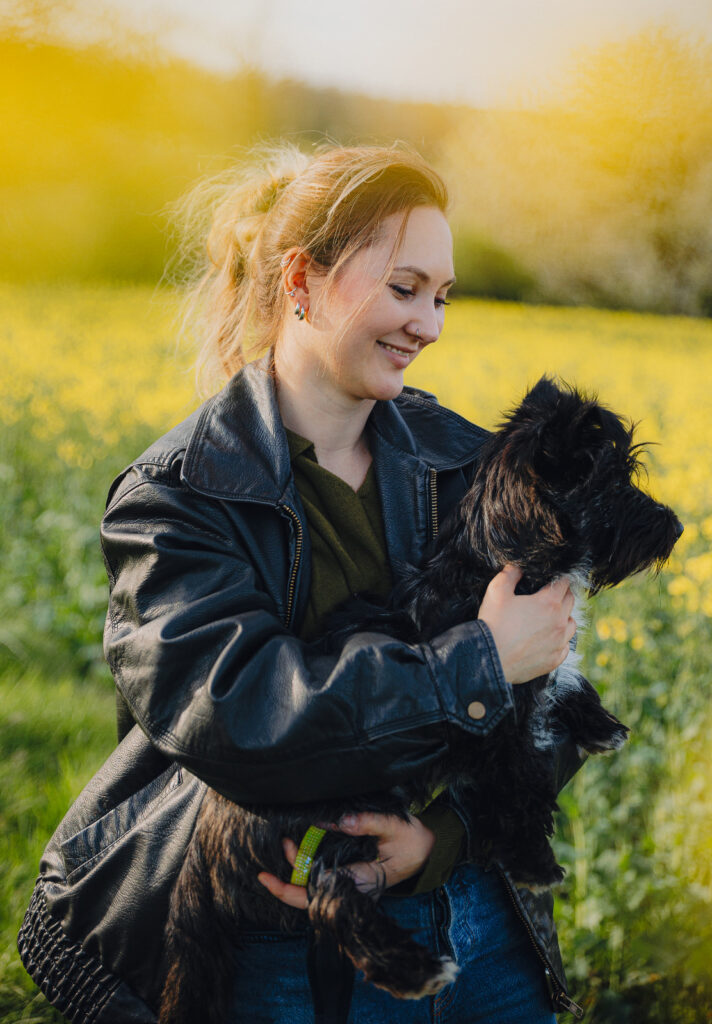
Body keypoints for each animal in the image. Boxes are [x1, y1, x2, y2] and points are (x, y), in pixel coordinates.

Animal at [158, 377, 682, 1023]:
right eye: (612, 483)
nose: (675, 527)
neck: (494, 559)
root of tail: (199, 853)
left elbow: (565, 681)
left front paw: (598, 721)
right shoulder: (494, 711)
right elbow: (519, 783)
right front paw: (532, 860)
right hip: (340, 816)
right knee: (331, 899)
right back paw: (411, 969)